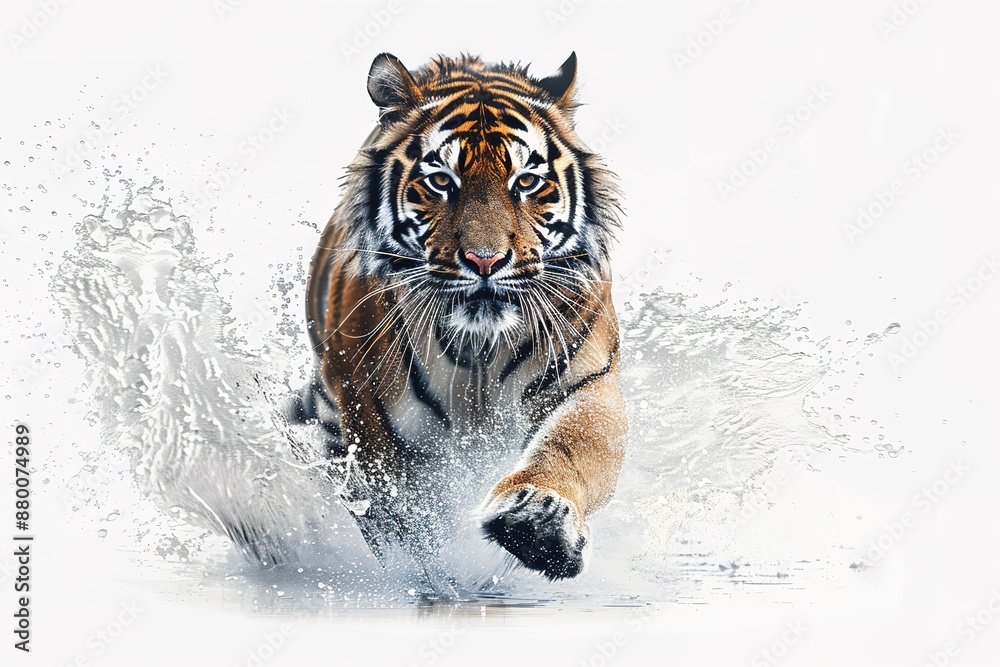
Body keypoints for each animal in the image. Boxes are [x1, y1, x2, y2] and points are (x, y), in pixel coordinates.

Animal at [294, 51, 627, 581]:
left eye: (526, 181)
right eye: (440, 181)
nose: (485, 261)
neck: (480, 349)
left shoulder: (587, 382)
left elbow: (572, 450)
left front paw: (538, 523)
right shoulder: (378, 433)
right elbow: (411, 528)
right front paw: (438, 580)